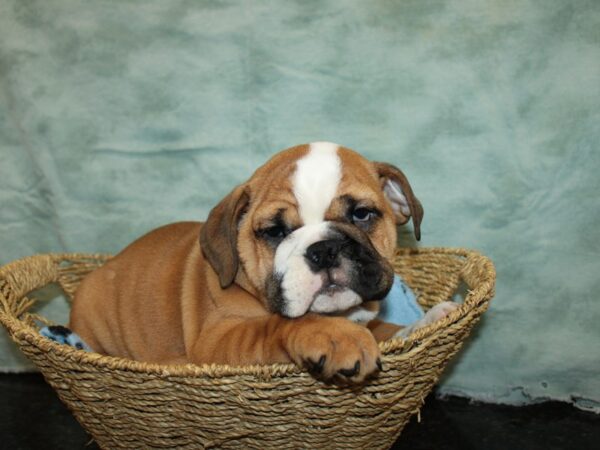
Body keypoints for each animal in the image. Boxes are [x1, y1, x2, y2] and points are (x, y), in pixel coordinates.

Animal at [70, 142, 454, 382]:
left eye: (361, 214)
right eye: (275, 231)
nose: (325, 250)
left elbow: (387, 330)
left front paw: (426, 320)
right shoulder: (217, 340)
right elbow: (277, 325)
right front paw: (334, 336)